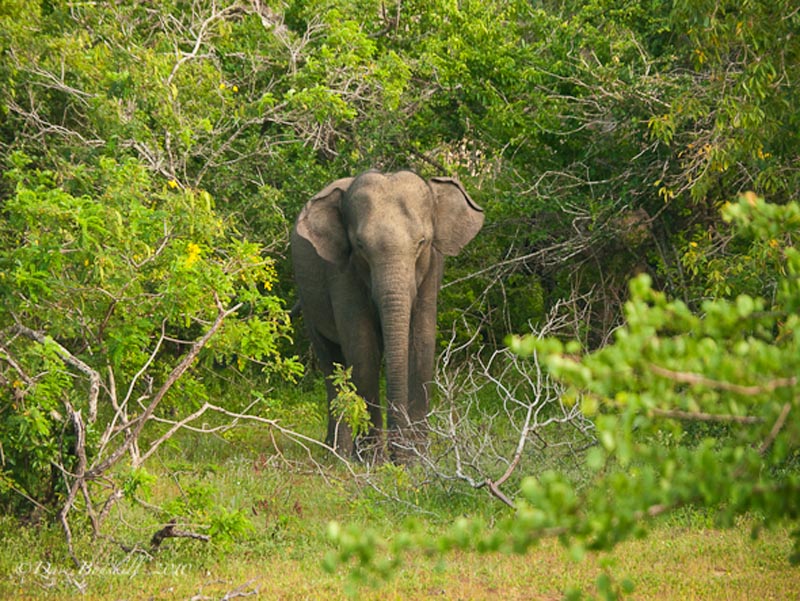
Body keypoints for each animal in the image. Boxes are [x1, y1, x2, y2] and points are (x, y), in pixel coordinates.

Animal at [290, 170, 484, 460]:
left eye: (422, 242)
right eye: (360, 245)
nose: (396, 454)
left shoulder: (432, 267)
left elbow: (421, 345)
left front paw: (416, 460)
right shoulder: (342, 272)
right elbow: (362, 350)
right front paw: (373, 461)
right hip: (308, 297)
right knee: (331, 362)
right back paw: (338, 453)